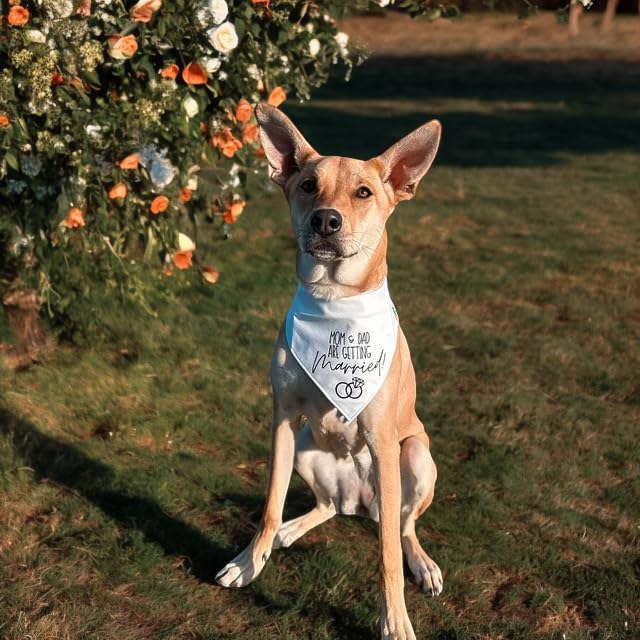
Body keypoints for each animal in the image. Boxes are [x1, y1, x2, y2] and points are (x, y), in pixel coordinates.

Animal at [218, 105, 442, 640]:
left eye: (363, 192)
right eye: (307, 185)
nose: (325, 219)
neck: (333, 301)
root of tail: (363, 502)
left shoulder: (383, 441)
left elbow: (386, 556)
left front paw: (394, 619)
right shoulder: (283, 419)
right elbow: (270, 505)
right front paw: (247, 562)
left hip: (416, 456)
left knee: (402, 526)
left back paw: (422, 563)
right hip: (306, 449)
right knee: (327, 506)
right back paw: (292, 530)